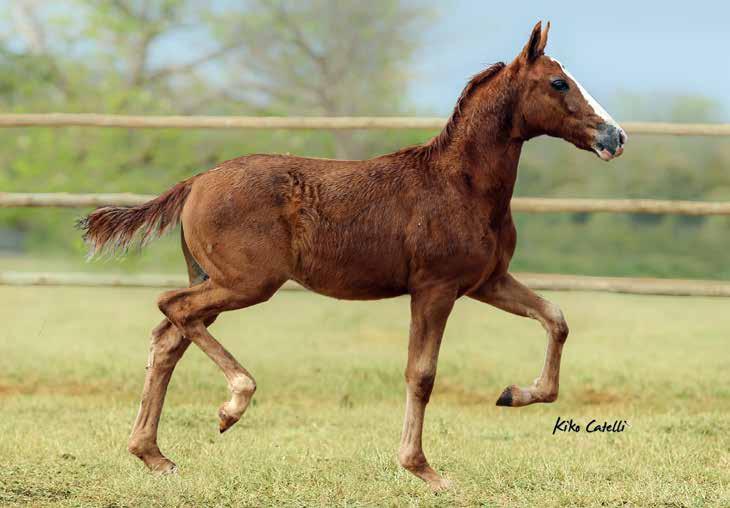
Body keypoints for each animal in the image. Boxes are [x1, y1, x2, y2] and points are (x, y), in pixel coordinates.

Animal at [79, 21, 624, 490]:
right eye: (558, 82)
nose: (614, 137)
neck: (461, 184)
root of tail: (194, 182)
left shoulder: (487, 281)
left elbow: (555, 317)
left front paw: (516, 394)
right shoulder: (435, 288)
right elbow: (421, 374)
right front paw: (423, 469)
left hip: (217, 280)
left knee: (169, 338)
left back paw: (154, 455)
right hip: (246, 282)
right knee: (173, 308)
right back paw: (232, 405)